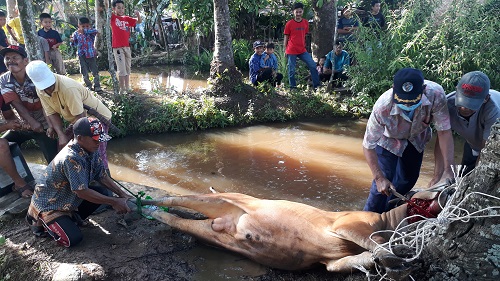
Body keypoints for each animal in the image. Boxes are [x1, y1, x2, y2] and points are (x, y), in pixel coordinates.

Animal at [131, 189, 444, 276]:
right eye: (425, 203)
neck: (386, 220)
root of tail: (225, 221)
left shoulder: (331, 261)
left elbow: (352, 261)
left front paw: (389, 263)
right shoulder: (348, 225)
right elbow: (373, 244)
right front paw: (396, 259)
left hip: (213, 233)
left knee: (176, 219)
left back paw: (145, 209)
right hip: (222, 197)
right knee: (175, 198)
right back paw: (137, 200)